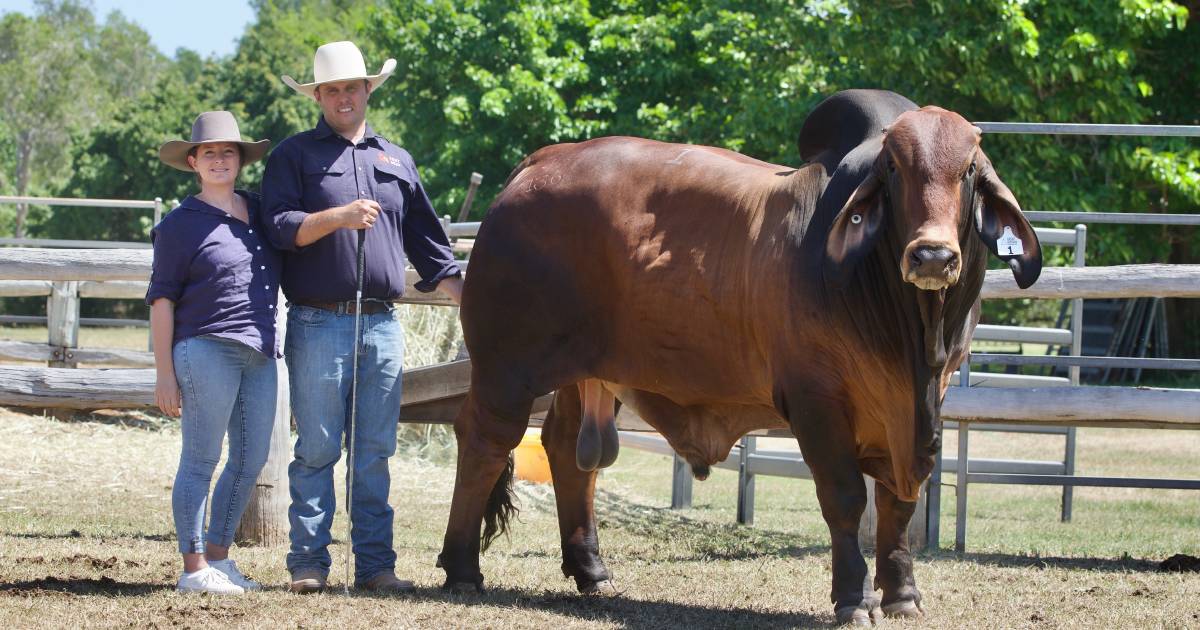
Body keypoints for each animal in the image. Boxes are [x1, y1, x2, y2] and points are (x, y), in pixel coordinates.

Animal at [439, 88, 1041, 624]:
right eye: (893, 168)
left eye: (969, 170)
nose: (932, 256)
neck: (911, 332)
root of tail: (537, 164)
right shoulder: (818, 401)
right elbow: (845, 498)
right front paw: (854, 599)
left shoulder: (924, 406)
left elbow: (898, 503)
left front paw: (903, 596)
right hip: (506, 367)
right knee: (485, 441)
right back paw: (463, 569)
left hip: (588, 371)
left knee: (569, 450)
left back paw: (591, 572)